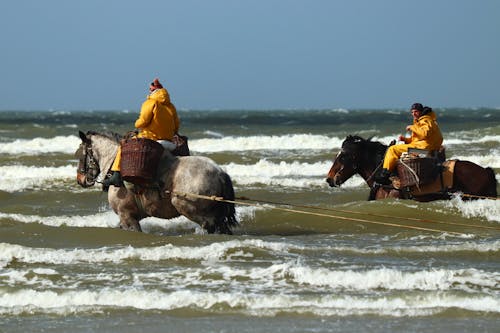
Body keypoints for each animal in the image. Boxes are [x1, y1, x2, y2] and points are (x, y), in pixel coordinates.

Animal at [74, 130, 238, 233]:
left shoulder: (127, 216)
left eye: (81, 155)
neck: (115, 162)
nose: (80, 180)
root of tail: (220, 173)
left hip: (191, 209)